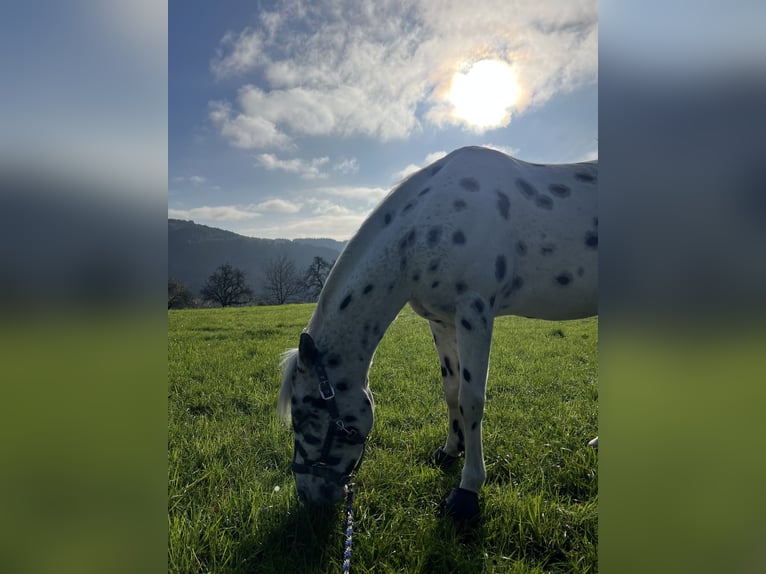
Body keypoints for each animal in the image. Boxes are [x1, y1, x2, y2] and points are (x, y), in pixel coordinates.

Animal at [280, 145, 596, 520]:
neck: (425, 230)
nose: (309, 495)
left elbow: (471, 400)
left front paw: (467, 490)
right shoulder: (442, 321)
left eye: (306, 414)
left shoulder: (475, 312)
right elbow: (451, 390)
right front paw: (450, 450)